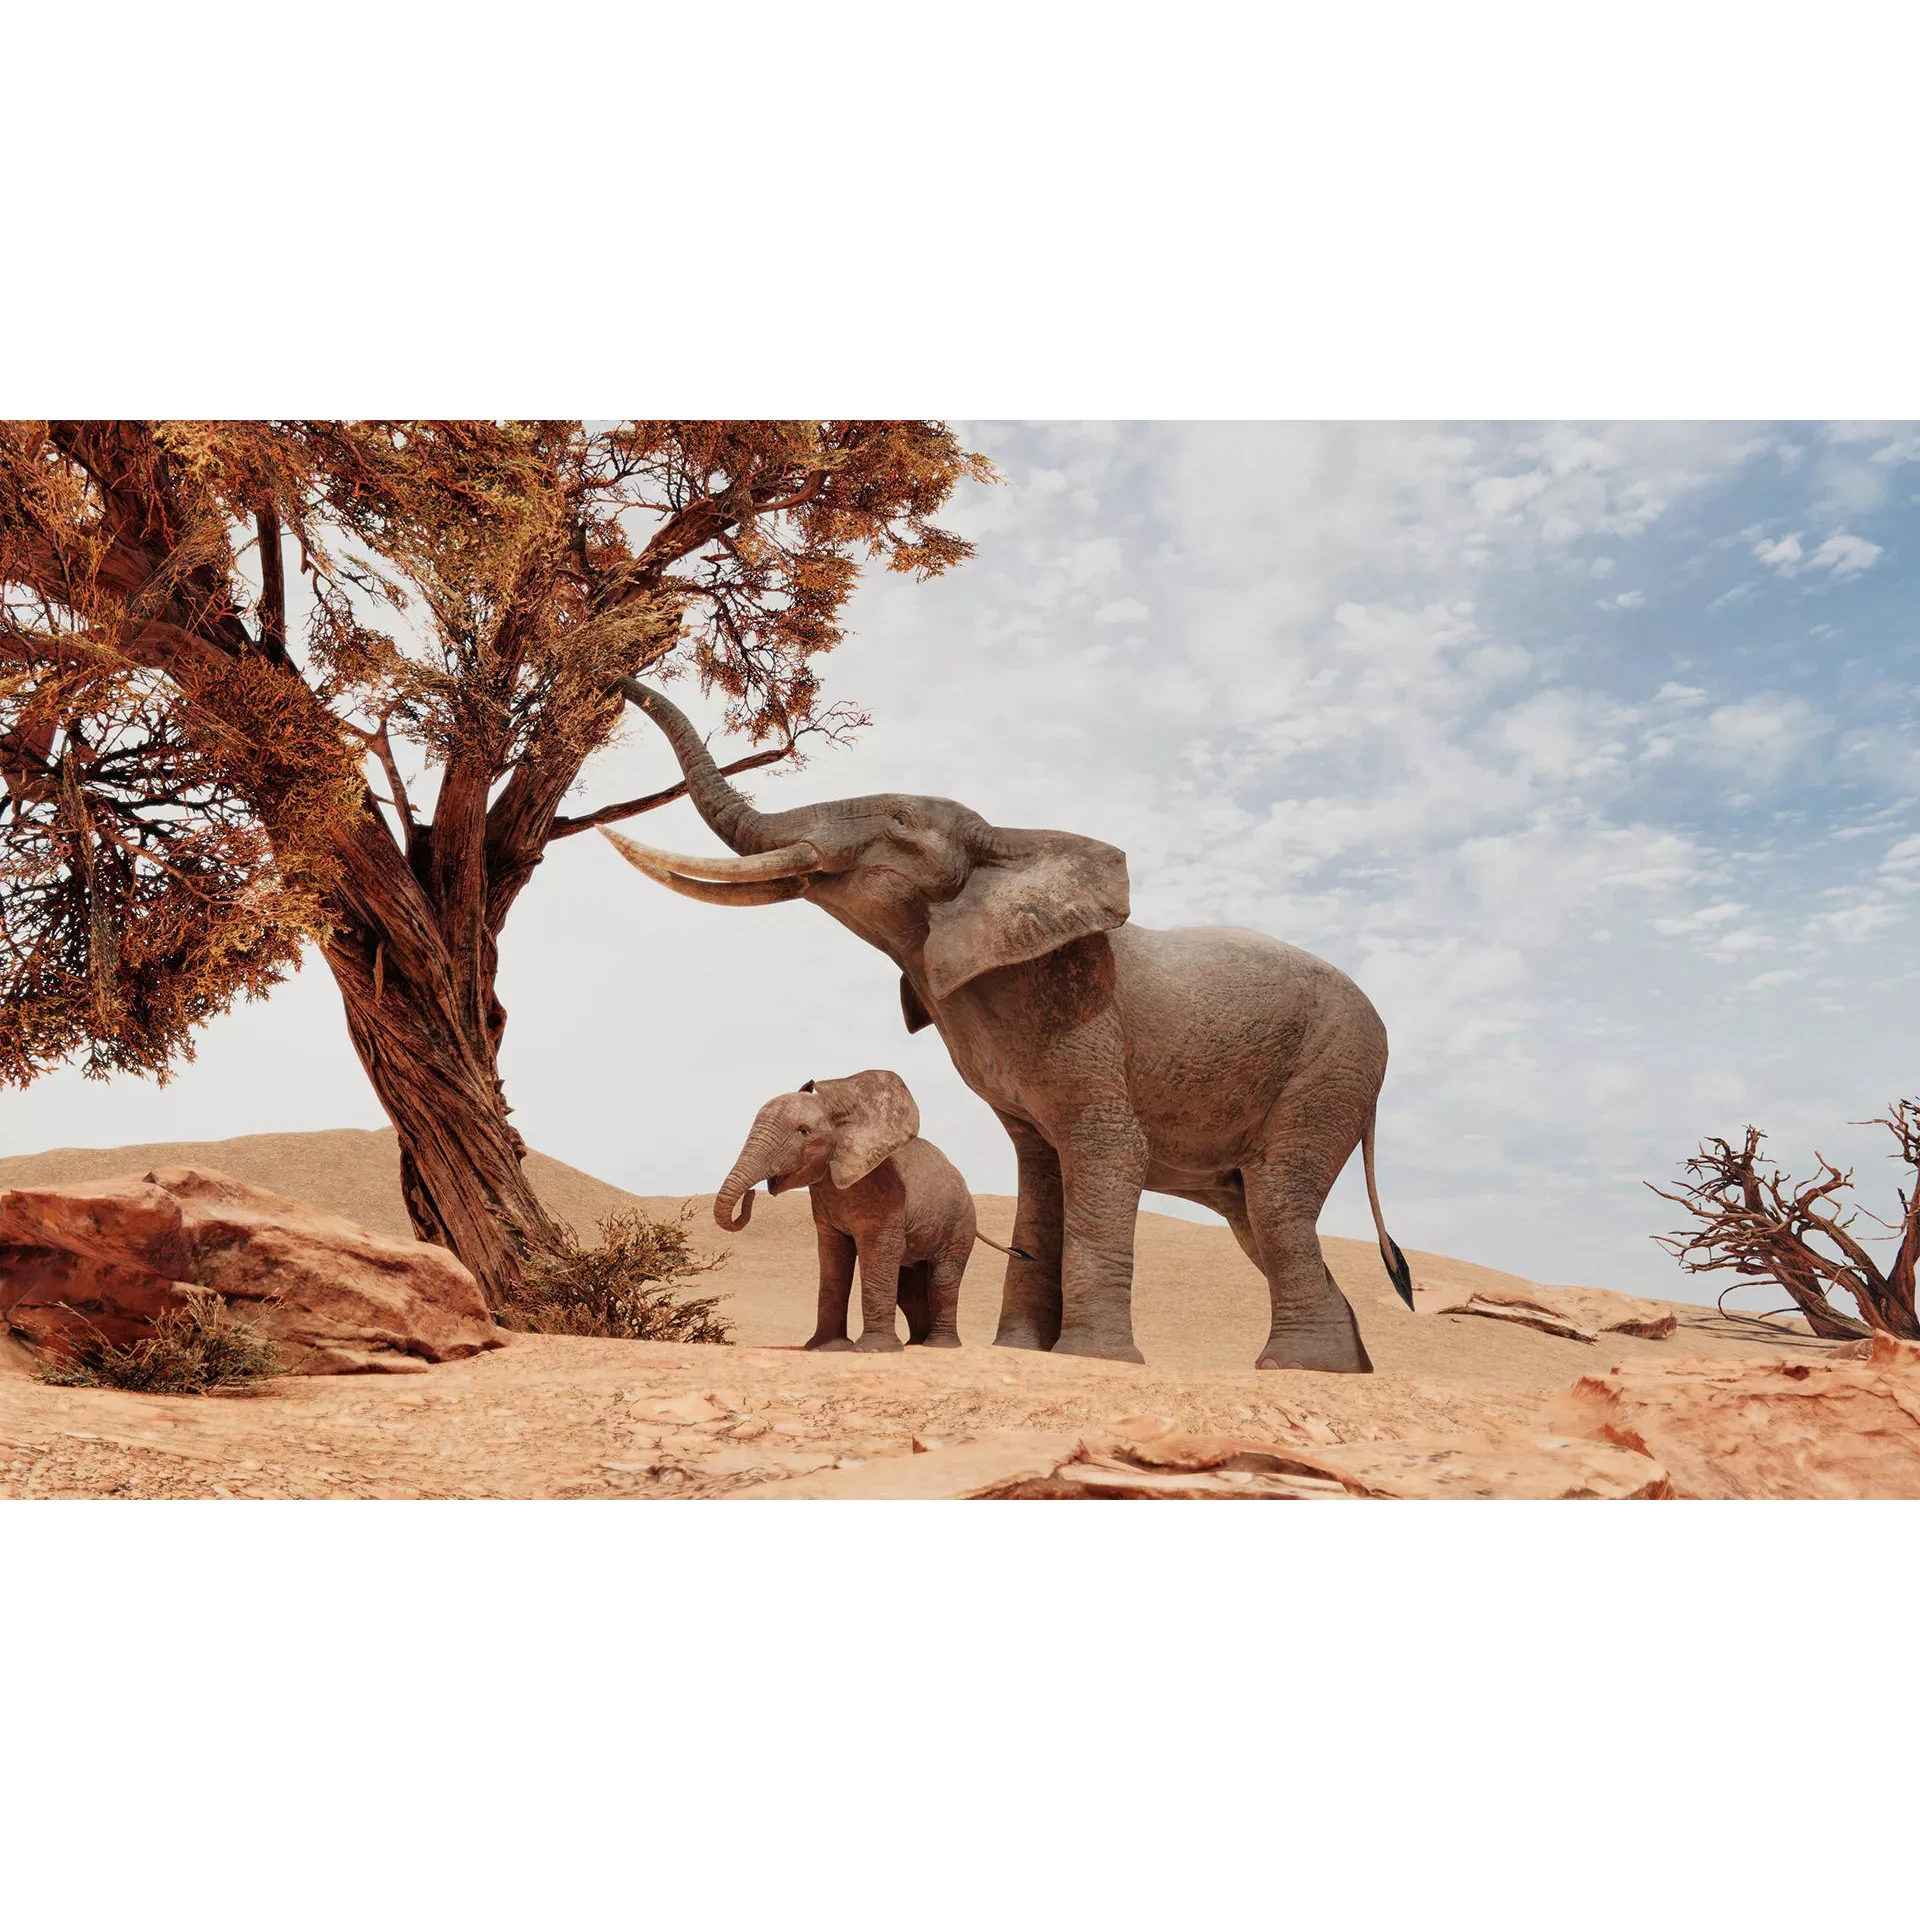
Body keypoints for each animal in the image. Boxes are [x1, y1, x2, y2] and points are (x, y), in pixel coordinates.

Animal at [712, 1068, 1023, 1353]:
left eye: (804, 1132)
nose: (752, 1193)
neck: (837, 1107)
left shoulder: (884, 1192)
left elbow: (876, 1252)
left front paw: (873, 1350)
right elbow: (833, 1257)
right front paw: (825, 1348)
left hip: (960, 1221)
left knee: (944, 1278)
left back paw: (940, 1346)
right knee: (907, 1288)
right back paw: (915, 1344)